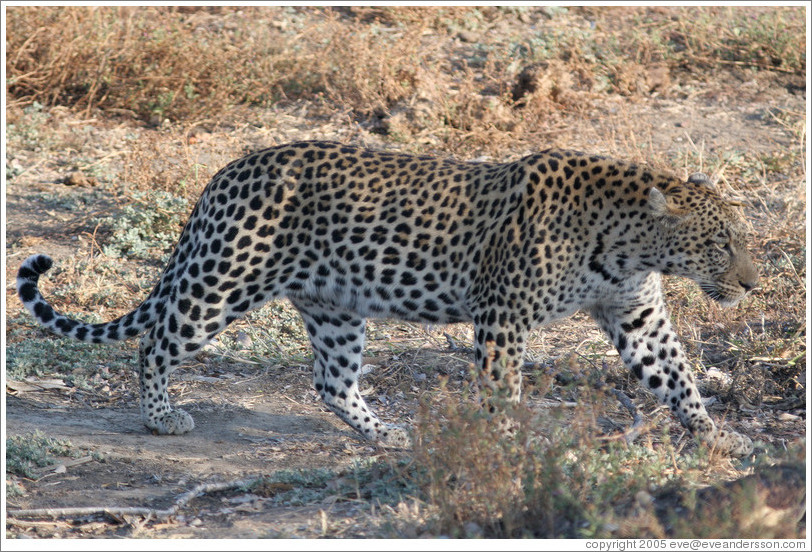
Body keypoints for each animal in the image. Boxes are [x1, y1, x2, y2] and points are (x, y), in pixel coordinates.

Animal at [17, 141, 759, 457]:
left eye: (740, 240)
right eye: (720, 244)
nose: (751, 284)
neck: (629, 244)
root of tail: (227, 171)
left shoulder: (637, 316)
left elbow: (677, 376)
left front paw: (714, 435)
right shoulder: (503, 318)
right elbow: (503, 389)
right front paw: (505, 443)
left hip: (334, 306)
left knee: (331, 382)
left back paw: (384, 433)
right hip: (222, 281)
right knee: (155, 340)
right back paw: (160, 418)